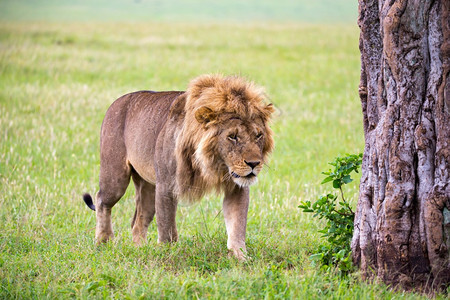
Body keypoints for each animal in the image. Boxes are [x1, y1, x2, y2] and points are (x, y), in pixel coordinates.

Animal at [83, 74, 274, 258]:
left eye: (258, 135)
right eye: (232, 136)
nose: (254, 164)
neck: (213, 163)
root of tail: (116, 102)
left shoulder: (236, 188)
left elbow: (237, 224)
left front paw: (240, 257)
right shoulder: (166, 186)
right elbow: (167, 227)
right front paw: (167, 255)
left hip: (148, 187)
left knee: (138, 221)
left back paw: (140, 249)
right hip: (116, 178)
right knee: (101, 200)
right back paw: (103, 241)